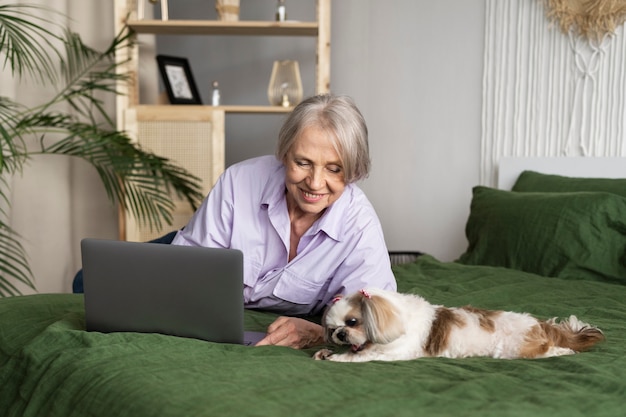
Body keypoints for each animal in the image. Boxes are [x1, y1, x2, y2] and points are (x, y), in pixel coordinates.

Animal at [314, 286, 604, 360]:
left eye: (352, 321)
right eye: (332, 328)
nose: (340, 334)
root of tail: (539, 324)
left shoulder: (391, 353)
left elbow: (358, 357)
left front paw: (335, 358)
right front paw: (324, 352)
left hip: (518, 349)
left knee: (546, 350)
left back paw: (563, 350)